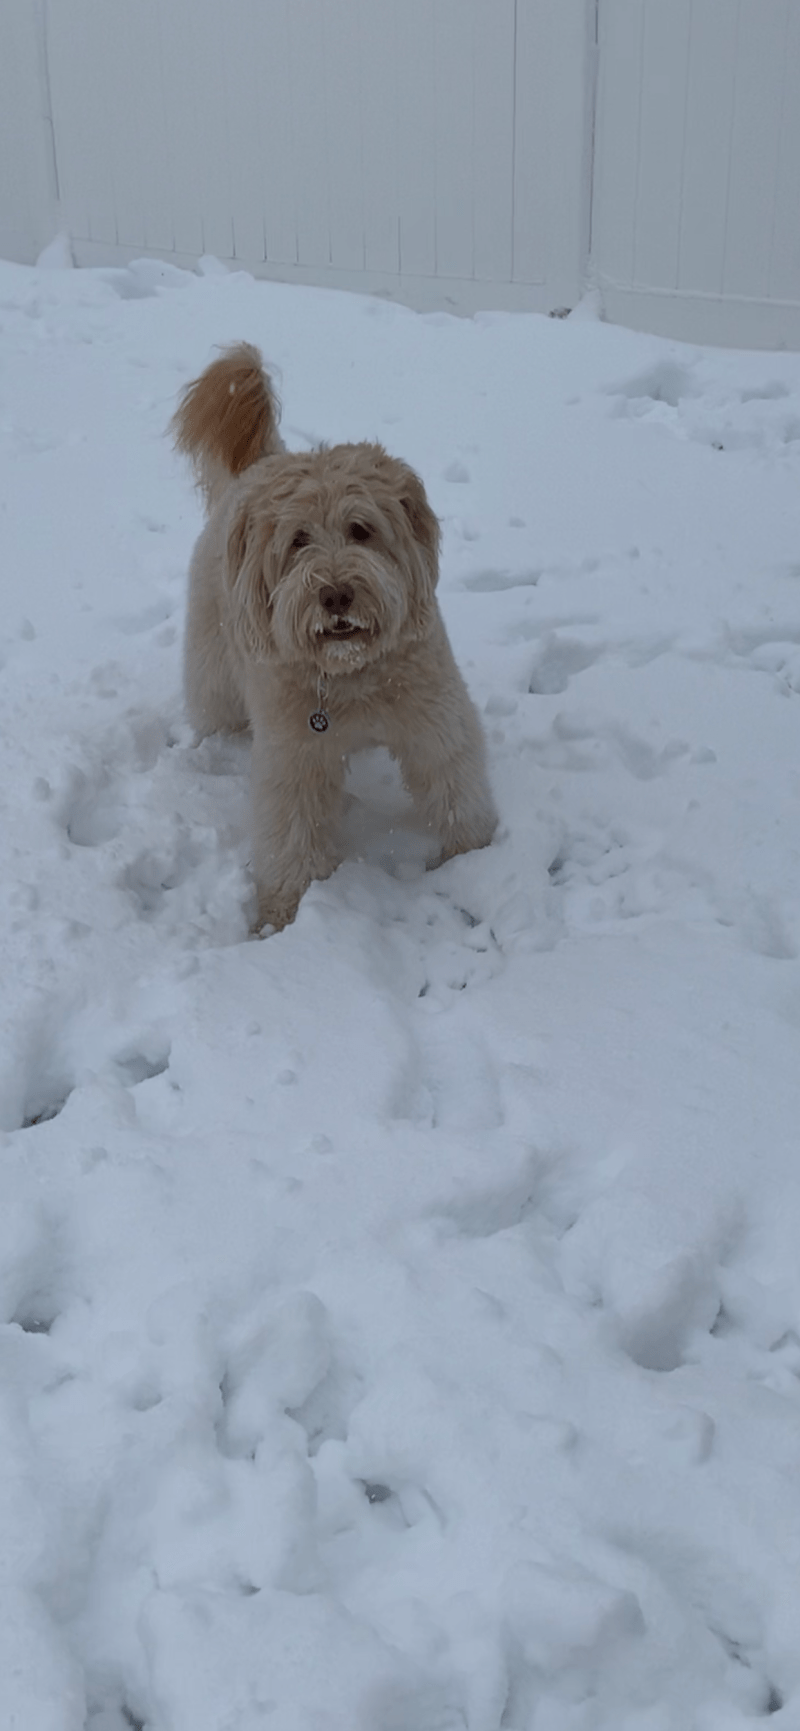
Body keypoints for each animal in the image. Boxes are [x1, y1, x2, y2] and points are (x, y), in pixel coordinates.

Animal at [174, 341, 495, 934]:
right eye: (298, 540)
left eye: (360, 529)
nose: (337, 594)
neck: (352, 677)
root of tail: (260, 463)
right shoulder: (293, 755)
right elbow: (291, 834)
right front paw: (284, 918)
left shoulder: (434, 718)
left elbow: (454, 784)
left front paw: (478, 860)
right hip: (214, 663)